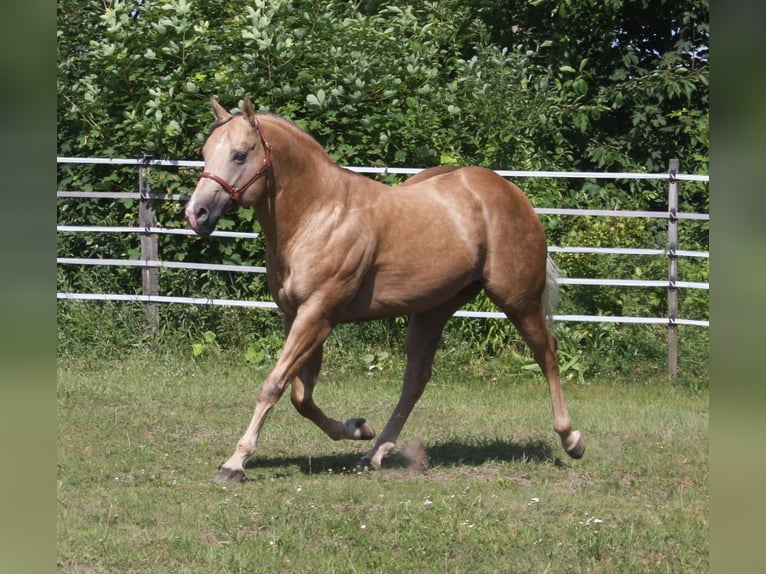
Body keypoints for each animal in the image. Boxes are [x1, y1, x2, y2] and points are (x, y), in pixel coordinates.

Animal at [185, 96, 584, 482]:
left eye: (240, 154)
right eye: (206, 152)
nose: (196, 213)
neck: (318, 214)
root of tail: (511, 192)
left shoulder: (318, 315)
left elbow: (274, 385)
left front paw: (234, 464)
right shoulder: (297, 316)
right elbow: (301, 395)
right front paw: (358, 428)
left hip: (518, 300)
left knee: (547, 353)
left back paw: (571, 439)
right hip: (433, 310)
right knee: (416, 379)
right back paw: (373, 454)